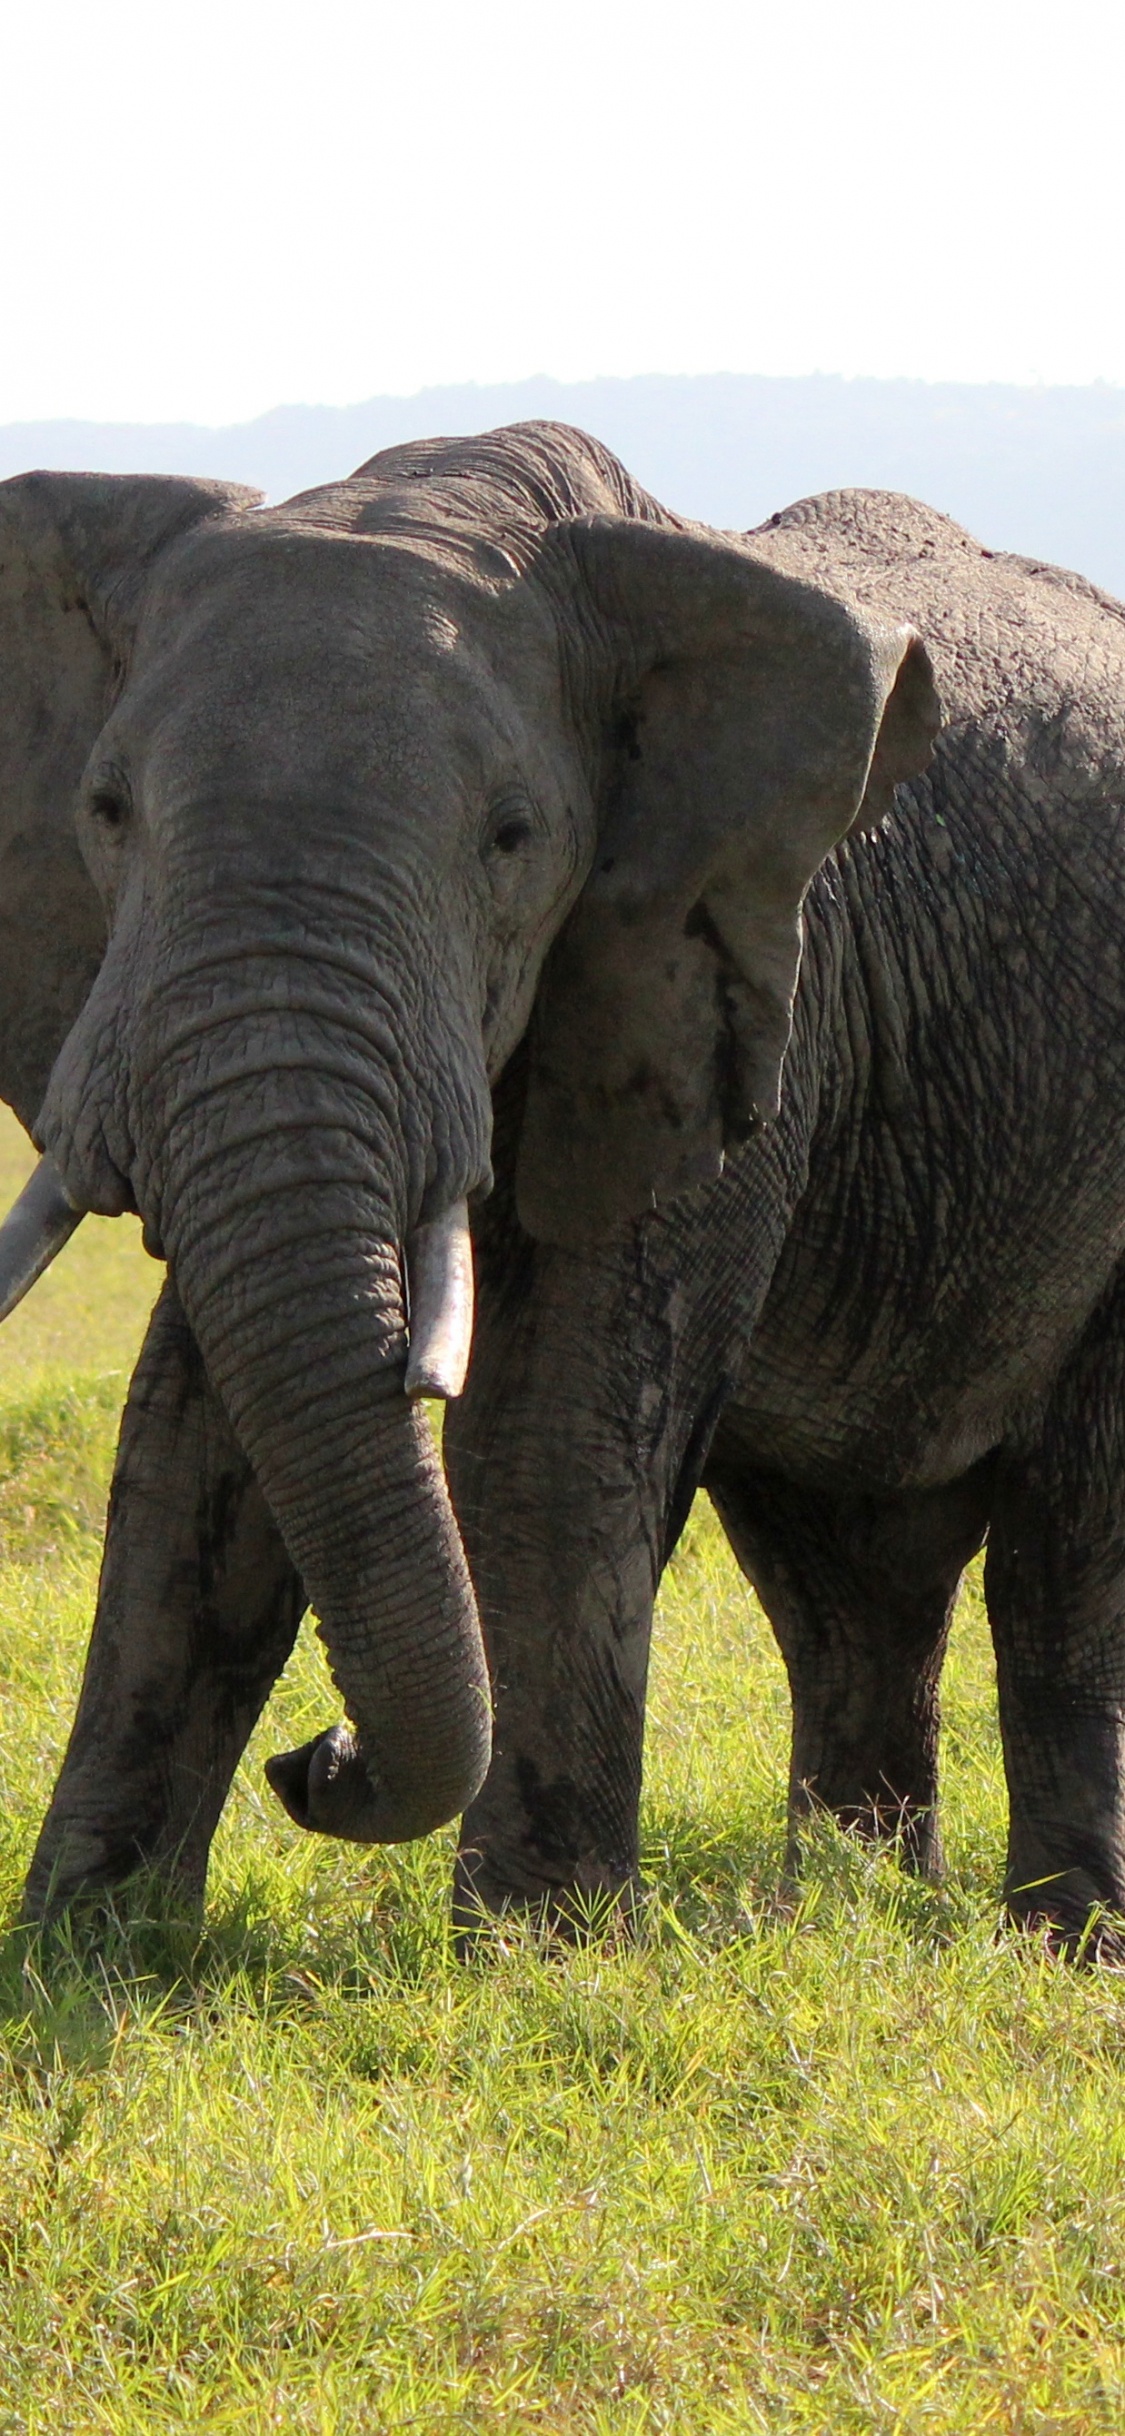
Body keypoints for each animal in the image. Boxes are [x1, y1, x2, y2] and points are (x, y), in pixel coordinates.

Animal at [0, 421, 935, 1921]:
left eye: (512, 839)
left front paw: (538, 1944)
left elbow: (554, 1435)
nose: (316, 1758)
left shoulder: (724, 1000)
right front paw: (88, 1938)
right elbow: (189, 1443)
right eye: (105, 809)